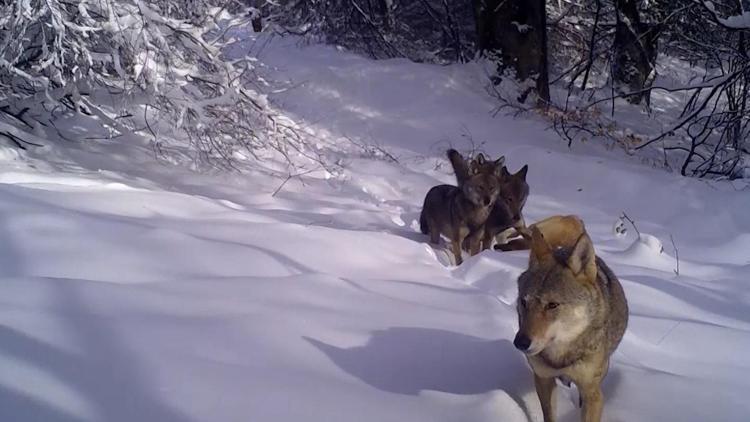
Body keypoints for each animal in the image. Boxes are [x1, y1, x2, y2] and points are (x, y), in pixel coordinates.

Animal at [516, 216, 632, 422]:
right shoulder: (543, 380)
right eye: (524, 301)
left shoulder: (593, 394)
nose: (520, 342)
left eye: (552, 305)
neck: (561, 356)